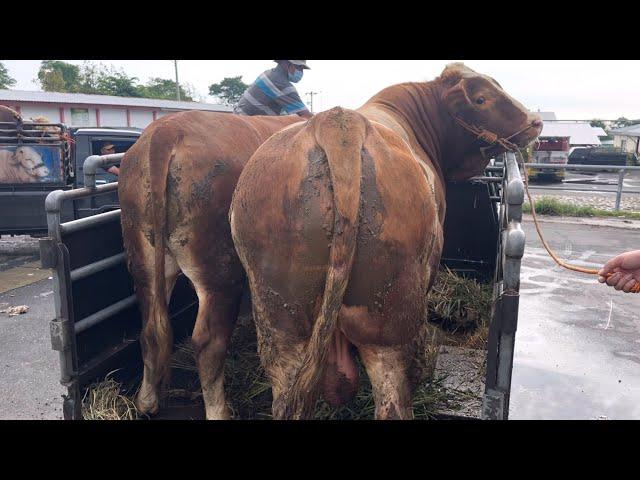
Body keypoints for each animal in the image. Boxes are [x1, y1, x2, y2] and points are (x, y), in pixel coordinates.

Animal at [117, 110, 302, 418]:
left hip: (145, 261)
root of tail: (166, 131)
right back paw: (219, 410)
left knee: (151, 331)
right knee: (209, 343)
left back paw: (146, 402)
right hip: (220, 274)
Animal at [228, 64, 544, 420]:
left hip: (282, 326)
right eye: (481, 99)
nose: (536, 122)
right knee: (393, 400)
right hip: (390, 327)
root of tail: (339, 124)